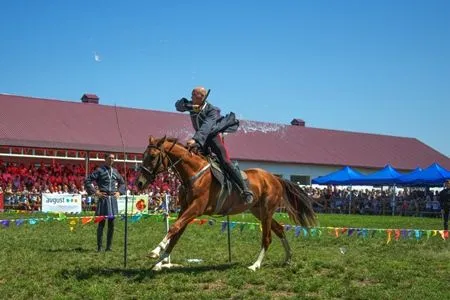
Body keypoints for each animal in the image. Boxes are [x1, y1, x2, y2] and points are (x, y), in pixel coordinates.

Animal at [135, 137, 314, 272]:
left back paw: (255, 265)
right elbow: (176, 234)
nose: (139, 183)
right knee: (280, 229)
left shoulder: (195, 209)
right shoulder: (185, 210)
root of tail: (275, 178)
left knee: (267, 237)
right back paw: (288, 258)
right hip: (258, 211)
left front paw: (155, 252)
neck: (194, 174)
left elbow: (173, 228)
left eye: (152, 156)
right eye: (143, 155)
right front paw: (160, 262)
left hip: (267, 211)